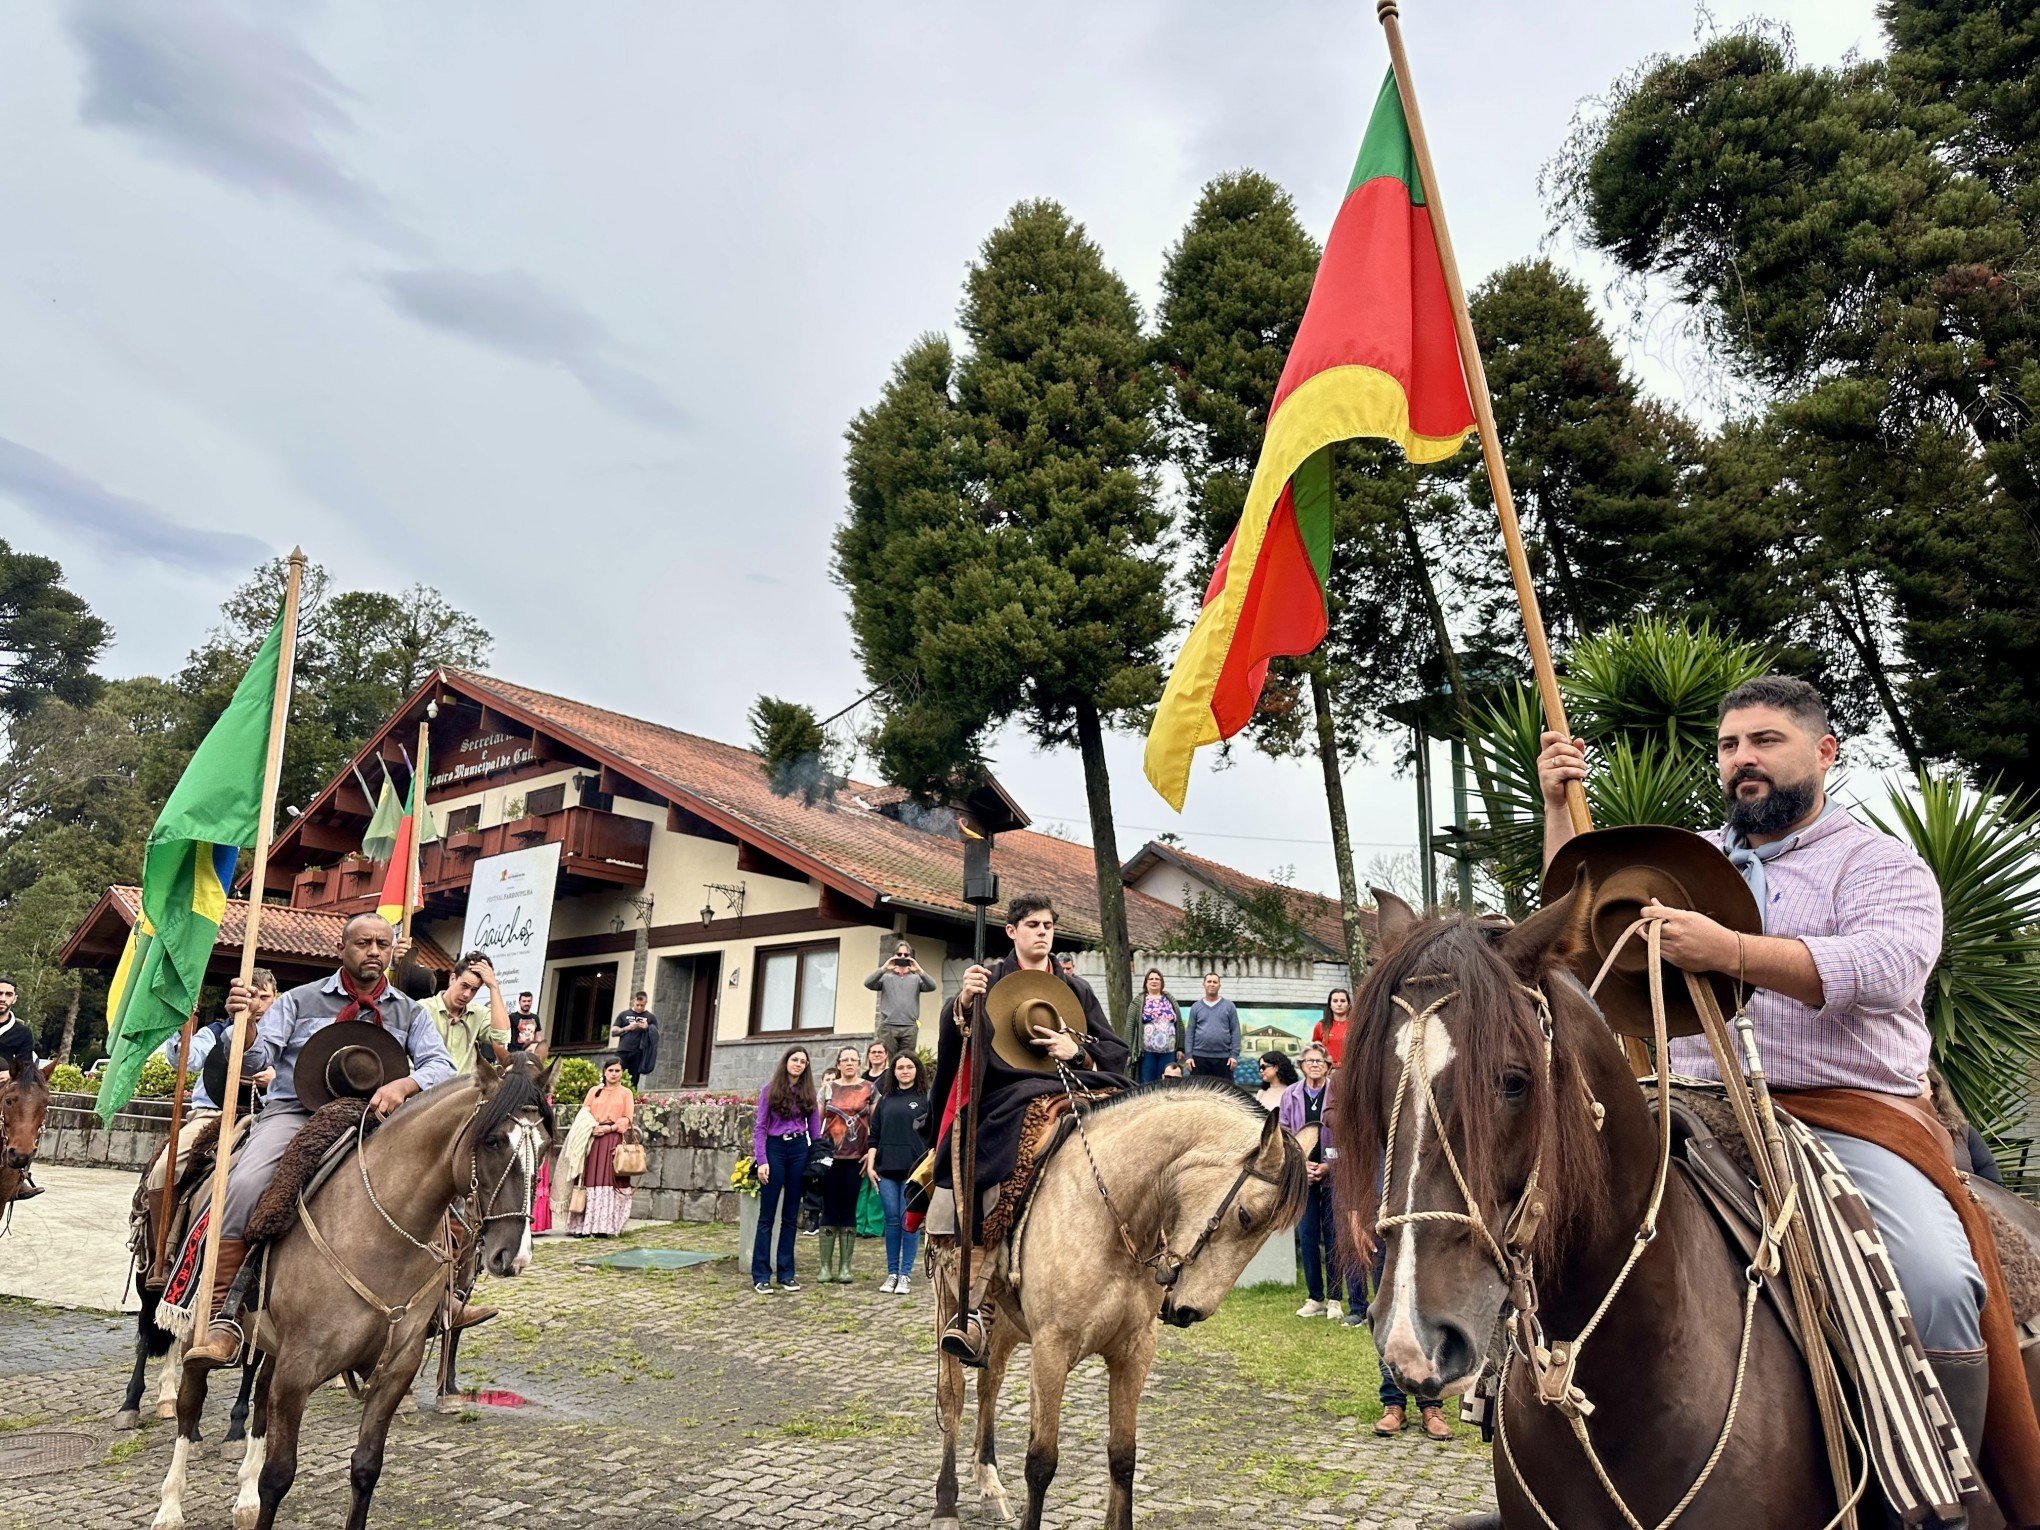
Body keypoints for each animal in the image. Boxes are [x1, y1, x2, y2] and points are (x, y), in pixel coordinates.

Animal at [153, 1052, 550, 1530]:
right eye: (492, 1141)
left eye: (545, 1146)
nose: (514, 1255)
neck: (379, 1232)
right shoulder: (299, 1369)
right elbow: (278, 1476)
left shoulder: (394, 1370)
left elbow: (365, 1468)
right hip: (200, 1326)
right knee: (190, 1402)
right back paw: (170, 1505)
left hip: (272, 1343)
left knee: (260, 1404)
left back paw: (243, 1500)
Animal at [930, 1077, 1297, 1530]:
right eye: (1245, 1215)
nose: (1189, 1312)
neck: (1112, 1213)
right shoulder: (1051, 1348)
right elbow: (1041, 1461)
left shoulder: (1134, 1350)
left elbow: (1123, 1457)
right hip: (949, 1297)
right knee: (953, 1393)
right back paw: (946, 1503)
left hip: (1006, 1322)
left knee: (989, 1382)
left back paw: (989, 1485)